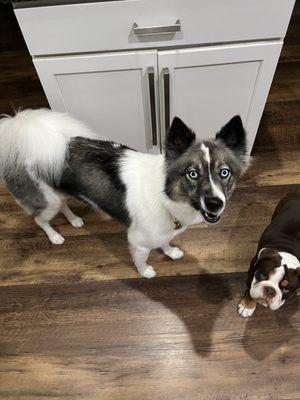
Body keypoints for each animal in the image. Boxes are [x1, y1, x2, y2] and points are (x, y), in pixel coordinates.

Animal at [0, 109, 250, 278]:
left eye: (225, 172)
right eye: (193, 174)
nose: (215, 203)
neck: (166, 198)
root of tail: (20, 134)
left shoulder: (163, 231)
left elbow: (165, 241)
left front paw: (170, 252)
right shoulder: (138, 241)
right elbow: (142, 258)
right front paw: (145, 271)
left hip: (55, 192)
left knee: (62, 205)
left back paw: (74, 220)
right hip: (45, 200)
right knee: (40, 219)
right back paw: (54, 236)